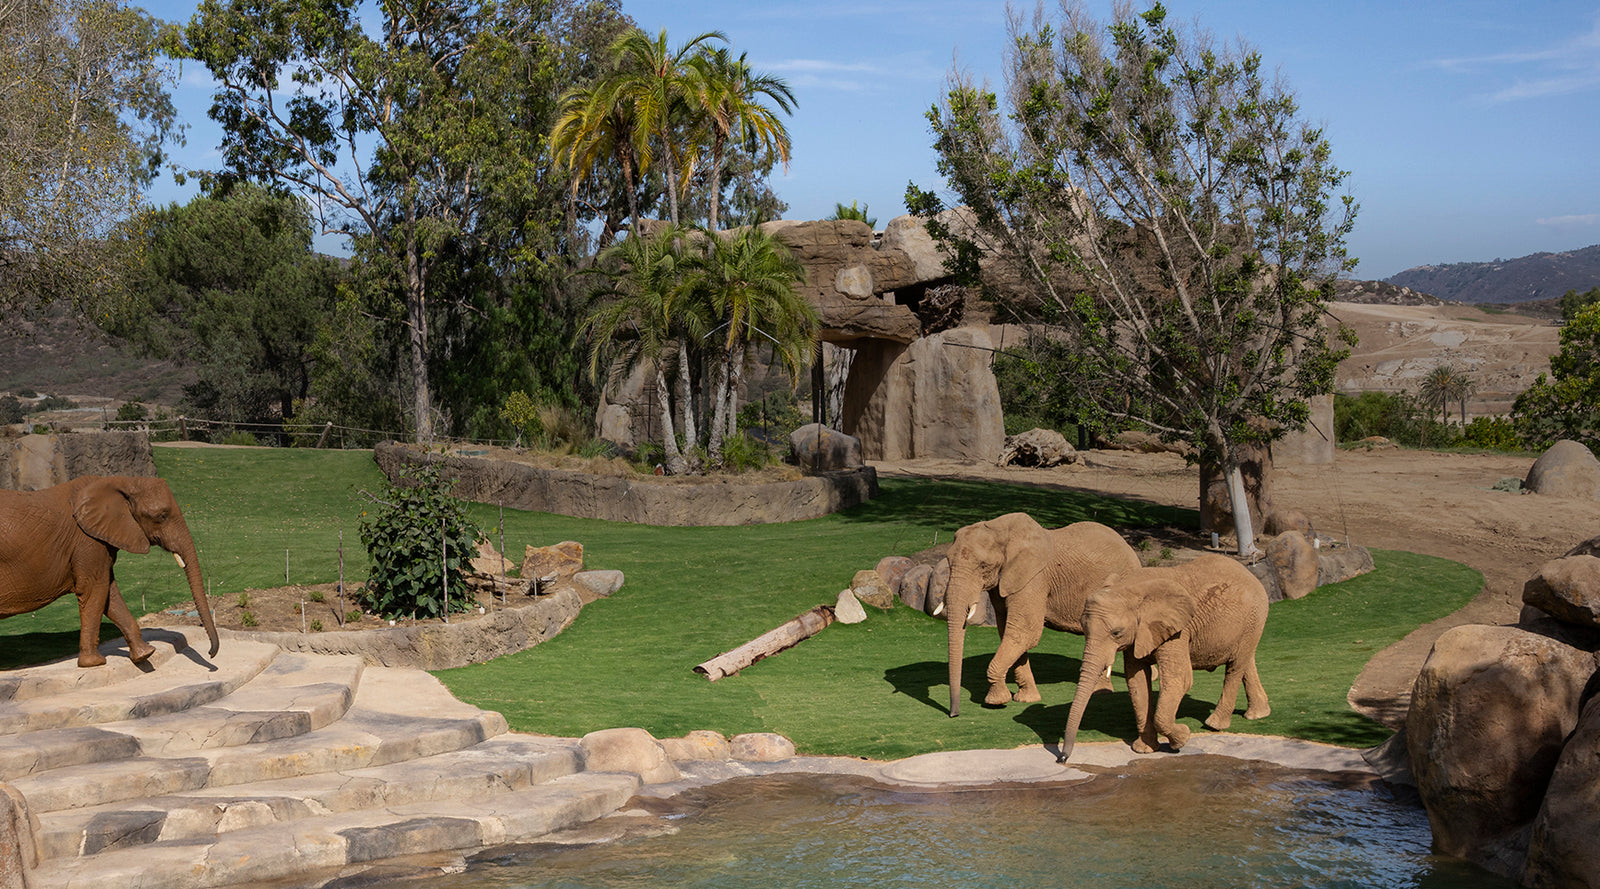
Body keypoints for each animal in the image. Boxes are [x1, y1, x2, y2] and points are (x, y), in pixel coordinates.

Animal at [0, 476, 218, 667]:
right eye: (162, 516)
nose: (211, 653)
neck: (121, 481)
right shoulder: (87, 541)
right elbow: (95, 589)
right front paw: (94, 663)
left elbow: (109, 594)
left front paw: (145, 654)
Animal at [938, 513, 1140, 717]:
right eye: (948, 562)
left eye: (983, 566)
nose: (954, 714)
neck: (1000, 529)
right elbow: (1008, 632)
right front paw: (1026, 699)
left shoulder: (1034, 579)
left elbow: (1024, 632)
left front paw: (996, 701)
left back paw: (1101, 693)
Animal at [1058, 554, 1269, 762]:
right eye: (1083, 629)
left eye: (1117, 633)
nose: (1062, 758)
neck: (1129, 588)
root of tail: (1252, 576)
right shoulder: (1140, 632)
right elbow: (1136, 681)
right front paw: (1144, 750)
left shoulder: (1177, 630)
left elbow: (1180, 680)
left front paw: (1182, 737)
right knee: (1246, 662)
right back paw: (1257, 715)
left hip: (1254, 616)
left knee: (1235, 667)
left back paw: (1215, 725)